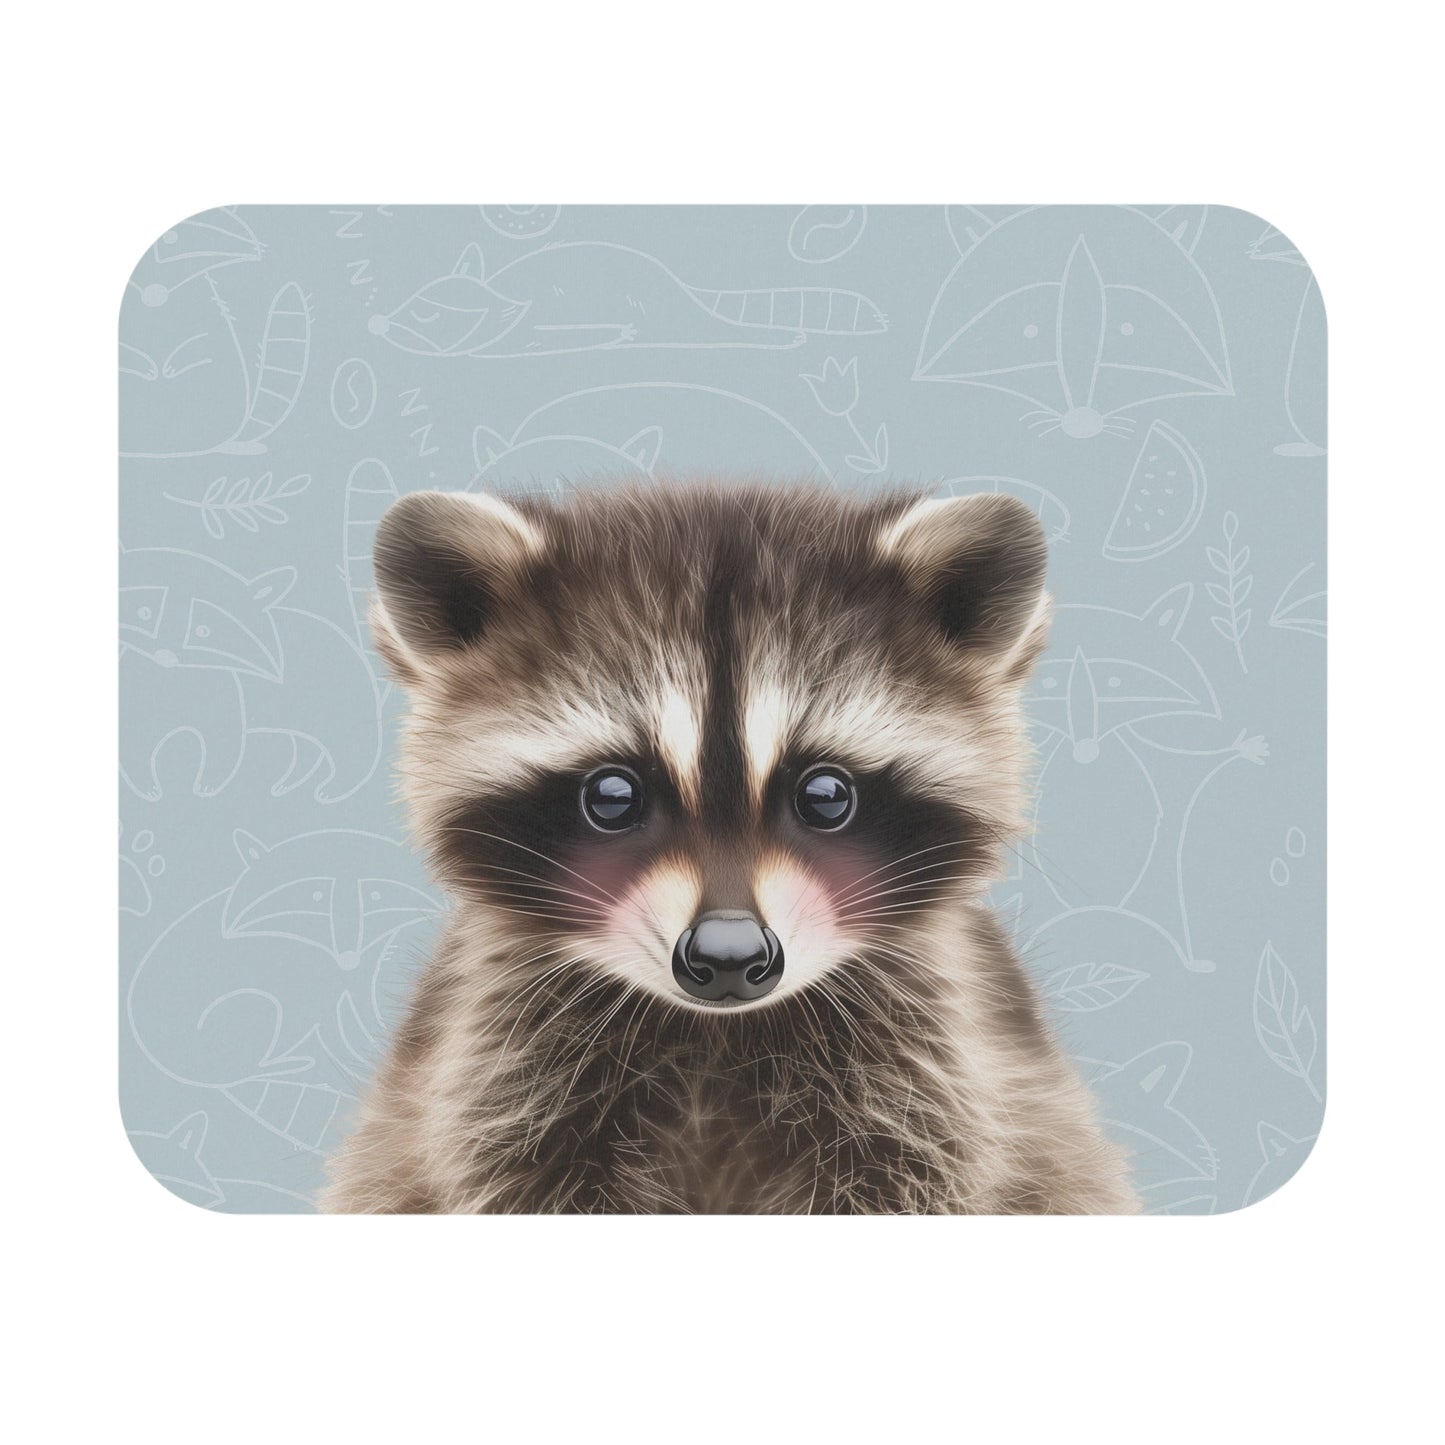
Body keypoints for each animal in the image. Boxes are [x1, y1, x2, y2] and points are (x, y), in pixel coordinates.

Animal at [319, 483, 1139, 1214]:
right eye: (612, 796)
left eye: (825, 795)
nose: (726, 958)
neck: (718, 1034)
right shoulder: (498, 1057)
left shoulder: (938, 1063)